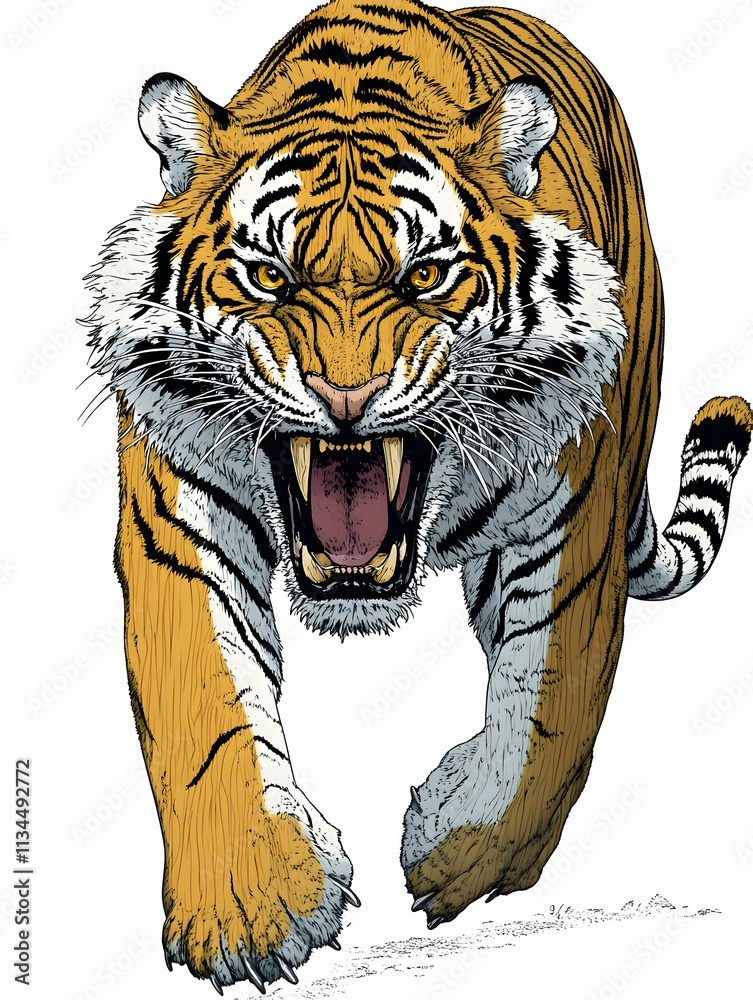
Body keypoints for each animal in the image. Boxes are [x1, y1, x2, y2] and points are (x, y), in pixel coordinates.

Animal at [84, 0, 752, 993]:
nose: (345, 394)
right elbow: (206, 709)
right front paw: (250, 907)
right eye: (269, 276)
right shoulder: (179, 517)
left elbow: (547, 718)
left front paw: (456, 851)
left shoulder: (569, 527)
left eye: (425, 276)